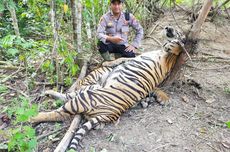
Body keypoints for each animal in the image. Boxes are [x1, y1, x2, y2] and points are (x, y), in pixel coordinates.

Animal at [31, 26, 185, 151]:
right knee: (68, 96)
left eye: (178, 31)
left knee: (58, 112)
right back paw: (47, 93)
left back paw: (31, 118)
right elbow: (123, 59)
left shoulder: (167, 58)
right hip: (88, 92)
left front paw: (176, 44)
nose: (168, 28)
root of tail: (113, 114)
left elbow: (177, 49)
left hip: (84, 97)